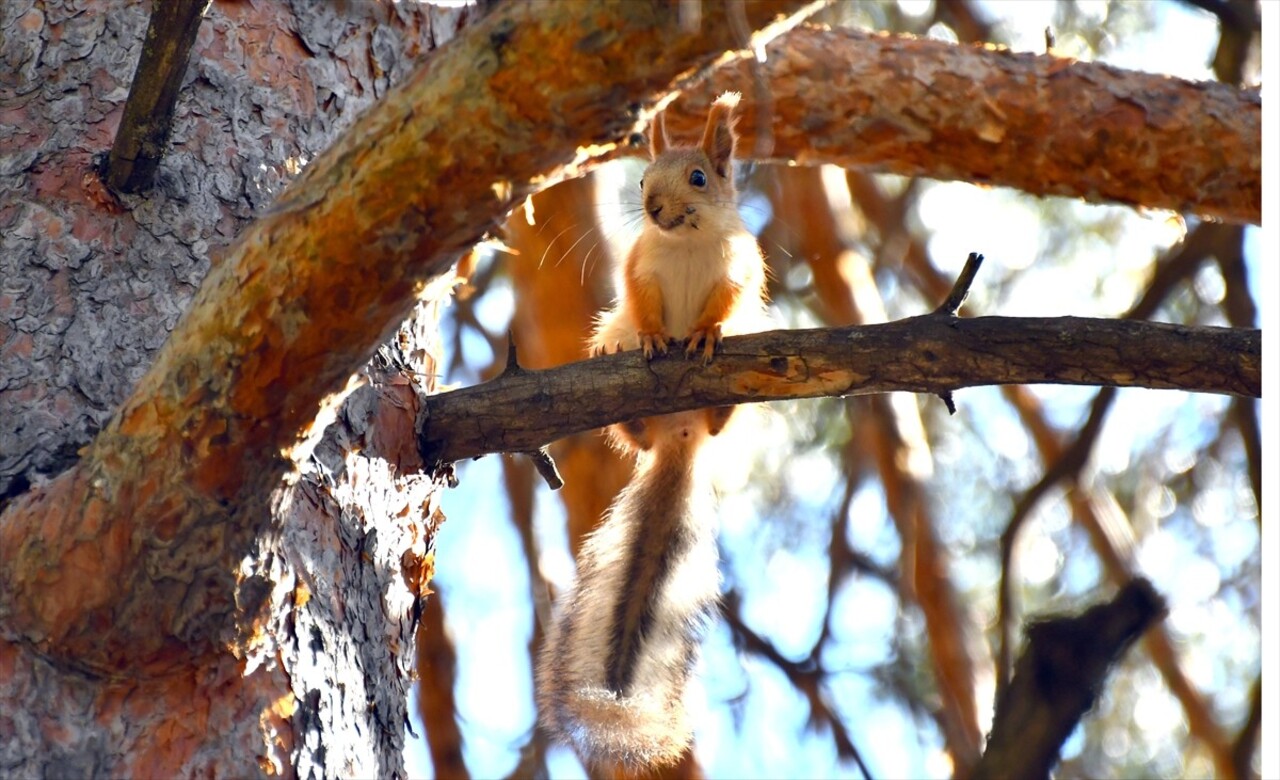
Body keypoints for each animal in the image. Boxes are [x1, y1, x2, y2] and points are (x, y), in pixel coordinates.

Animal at [532, 90, 762, 768]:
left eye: (700, 177)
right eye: (640, 179)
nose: (655, 207)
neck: (683, 243)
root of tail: (677, 439)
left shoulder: (741, 269)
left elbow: (726, 303)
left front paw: (708, 332)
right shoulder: (641, 270)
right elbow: (643, 300)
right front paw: (658, 336)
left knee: (721, 420)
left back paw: (718, 409)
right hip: (614, 350)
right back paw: (632, 398)